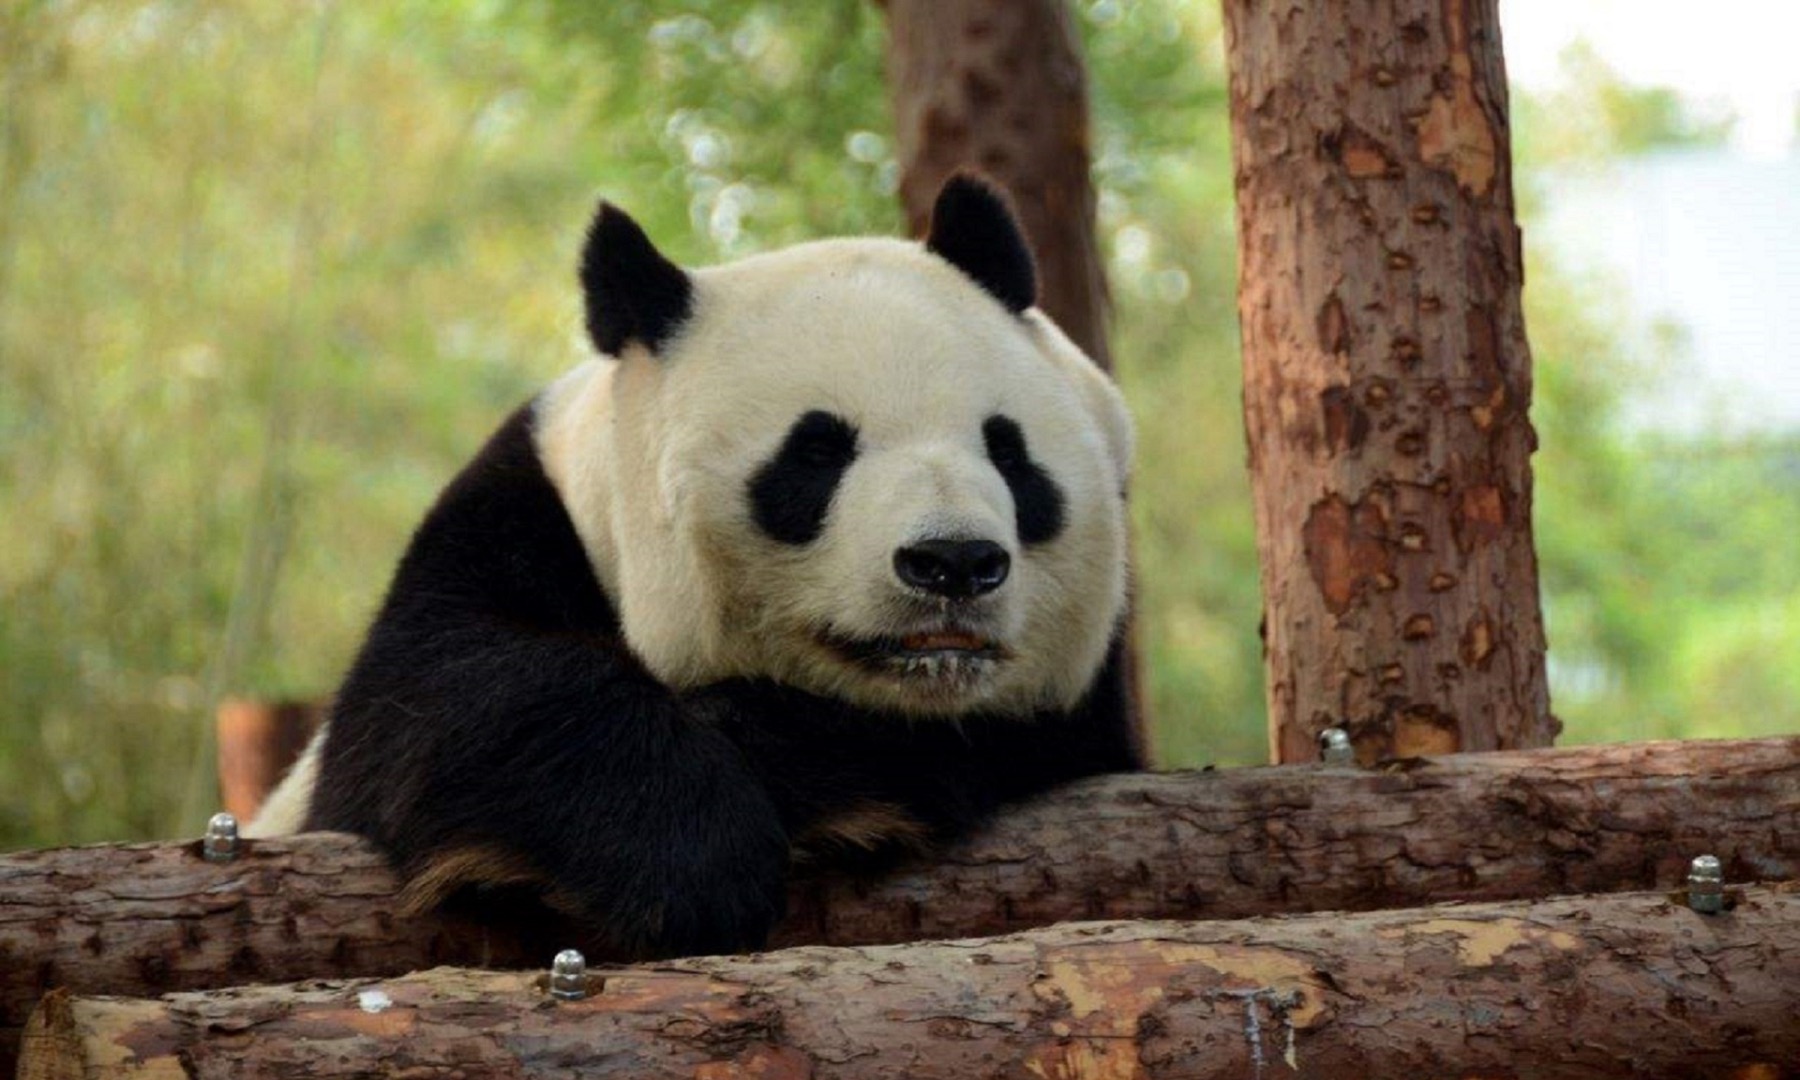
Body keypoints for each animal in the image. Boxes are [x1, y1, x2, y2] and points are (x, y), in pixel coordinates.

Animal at [250, 172, 1137, 957]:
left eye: (1008, 451)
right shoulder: (512, 521)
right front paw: (686, 857)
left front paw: (763, 744)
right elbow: (436, 699)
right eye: (816, 452)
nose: (952, 561)